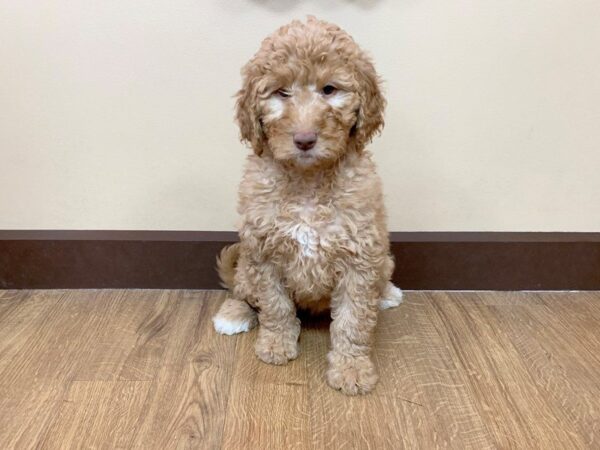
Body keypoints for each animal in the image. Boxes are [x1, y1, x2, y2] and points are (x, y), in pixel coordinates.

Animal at [212, 16, 404, 394]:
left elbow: (353, 320)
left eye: (329, 89)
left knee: (380, 279)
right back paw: (233, 314)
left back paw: (387, 293)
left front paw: (351, 367)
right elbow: (274, 305)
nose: (304, 140)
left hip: (383, 258)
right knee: (242, 288)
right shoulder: (263, 252)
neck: (308, 181)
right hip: (246, 260)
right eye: (280, 93)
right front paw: (275, 344)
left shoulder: (361, 257)